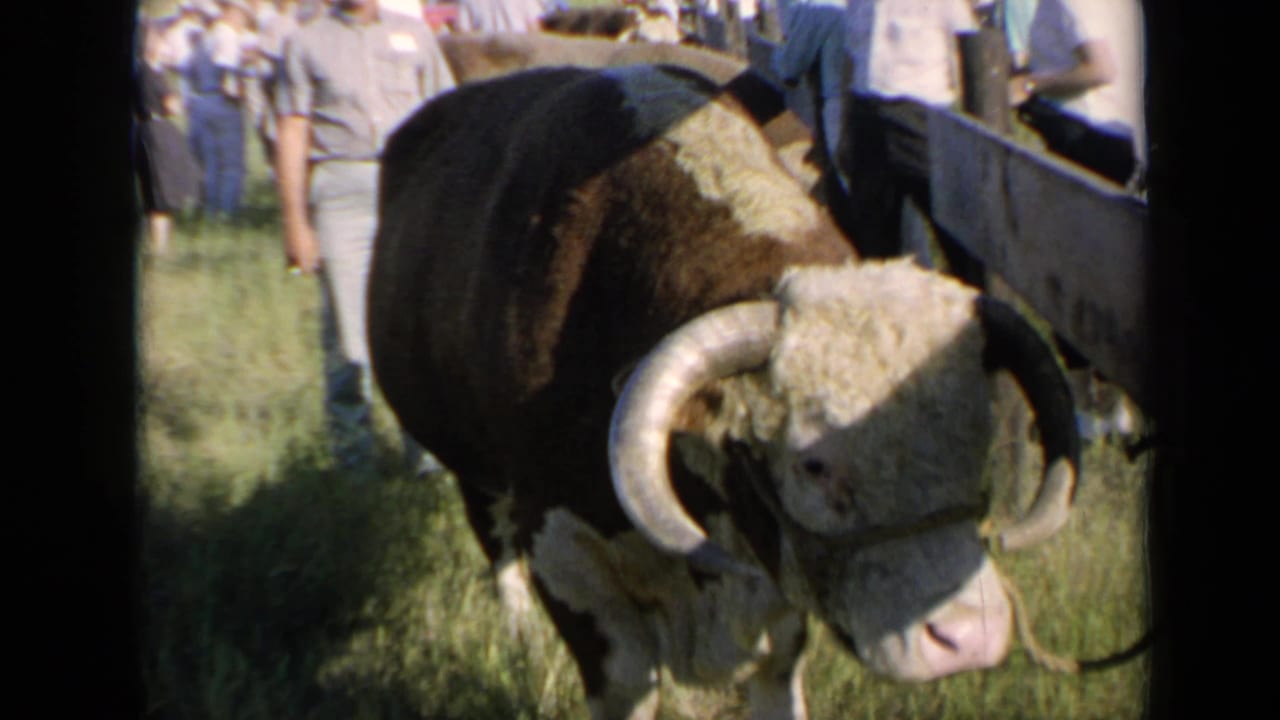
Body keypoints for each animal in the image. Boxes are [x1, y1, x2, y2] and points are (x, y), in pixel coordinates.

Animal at [368, 63, 1081, 719]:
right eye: (813, 463)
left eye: (978, 440)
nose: (968, 637)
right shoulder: (575, 579)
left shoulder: (775, 616)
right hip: (474, 474)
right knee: (496, 548)